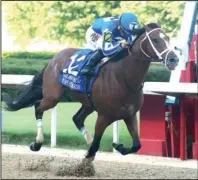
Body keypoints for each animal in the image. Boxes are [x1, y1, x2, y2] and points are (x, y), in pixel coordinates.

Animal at [2, 23, 179, 162]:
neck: (124, 77)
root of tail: (53, 58)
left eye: (168, 39)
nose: (174, 59)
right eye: (155, 40)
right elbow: (95, 146)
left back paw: (87, 141)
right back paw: (37, 143)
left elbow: (136, 144)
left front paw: (118, 146)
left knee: (77, 118)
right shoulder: (104, 116)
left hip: (88, 103)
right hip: (53, 96)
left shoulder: (129, 114)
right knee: (38, 106)